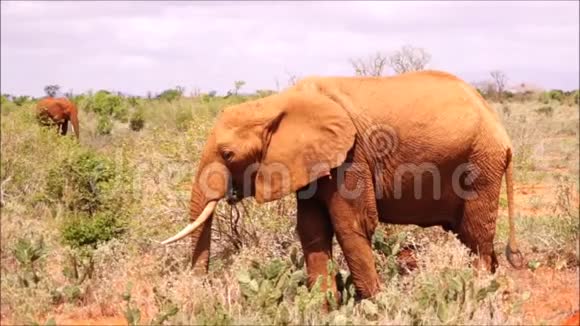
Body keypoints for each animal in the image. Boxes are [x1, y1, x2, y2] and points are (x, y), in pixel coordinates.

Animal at [160, 70, 524, 300]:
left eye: (228, 154)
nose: (200, 291)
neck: (278, 102)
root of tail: (501, 130)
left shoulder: (351, 155)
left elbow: (352, 225)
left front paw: (375, 306)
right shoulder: (311, 163)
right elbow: (311, 228)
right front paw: (321, 308)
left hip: (480, 161)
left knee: (475, 235)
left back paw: (479, 293)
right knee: (471, 235)